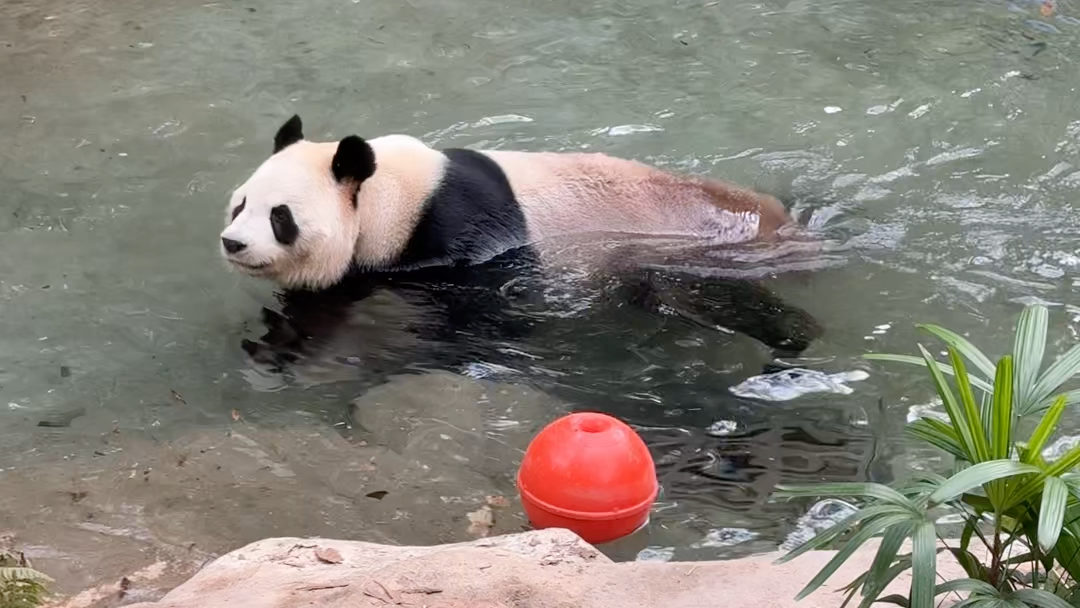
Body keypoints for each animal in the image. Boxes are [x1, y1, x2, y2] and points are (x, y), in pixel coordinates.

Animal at [223, 115, 820, 380]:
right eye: (240, 205)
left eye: (280, 217)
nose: (233, 243)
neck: (389, 195)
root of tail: (781, 222)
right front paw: (279, 339)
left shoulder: (465, 242)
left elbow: (486, 317)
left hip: (680, 250)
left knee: (719, 299)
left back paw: (794, 337)